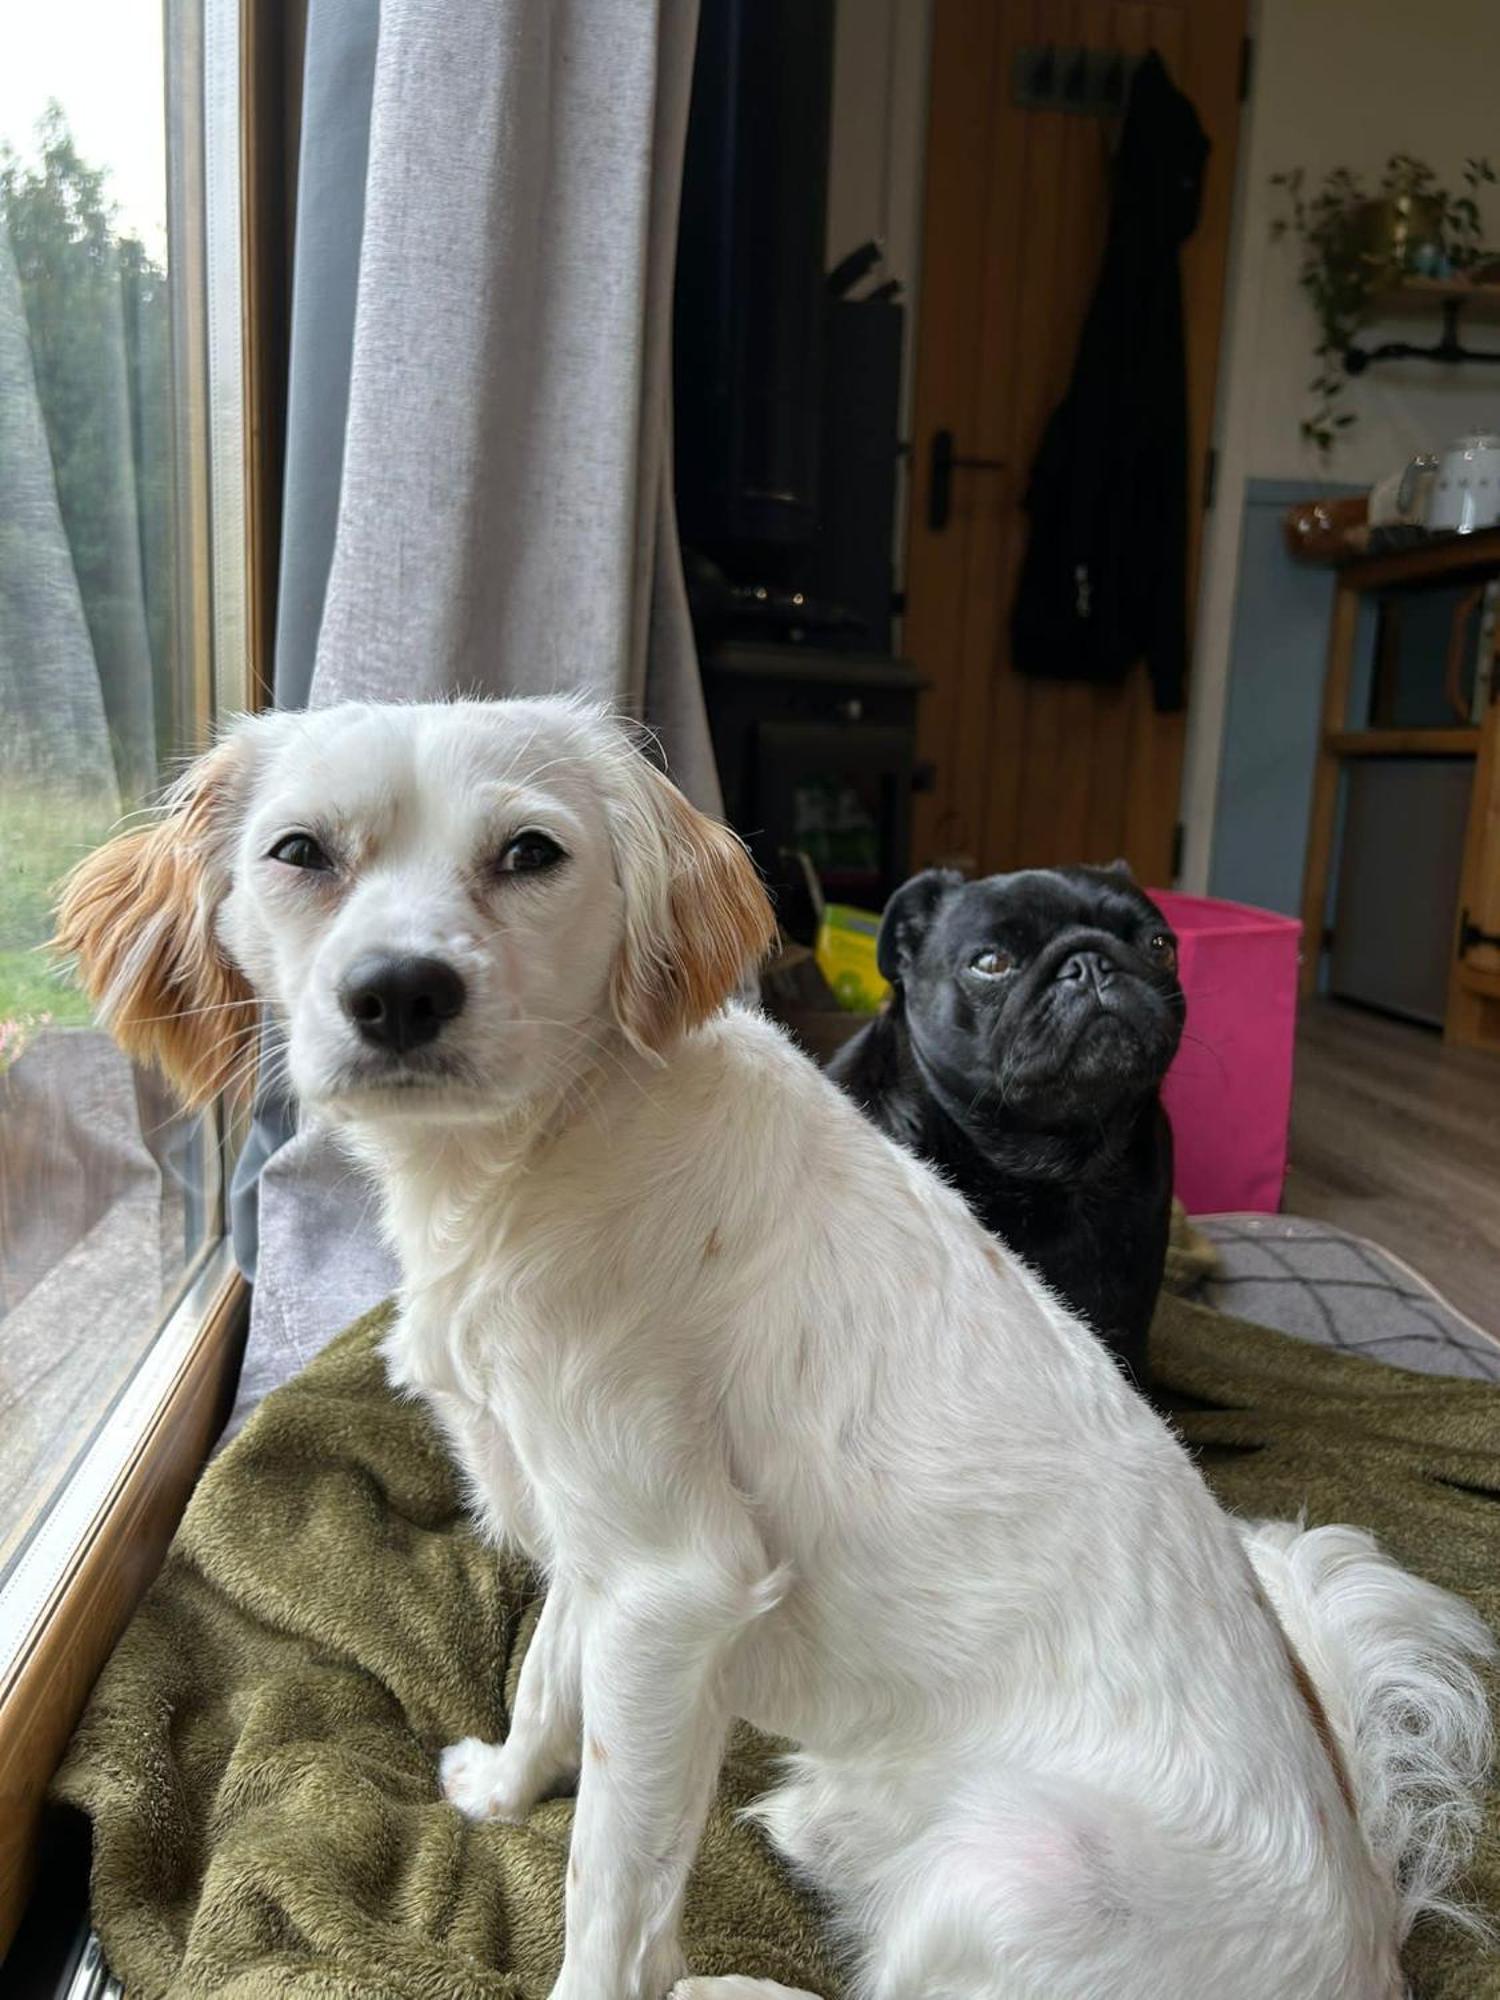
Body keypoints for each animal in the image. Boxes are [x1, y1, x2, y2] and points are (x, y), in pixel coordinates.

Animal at [58, 704, 1496, 2000]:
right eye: (300, 850)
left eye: (530, 852)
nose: (401, 991)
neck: (539, 1154)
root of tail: (1376, 1937)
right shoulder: (599, 1546)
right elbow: (546, 1685)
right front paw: (506, 1786)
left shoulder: (672, 1585)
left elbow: (610, 1887)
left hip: (1013, 1872)